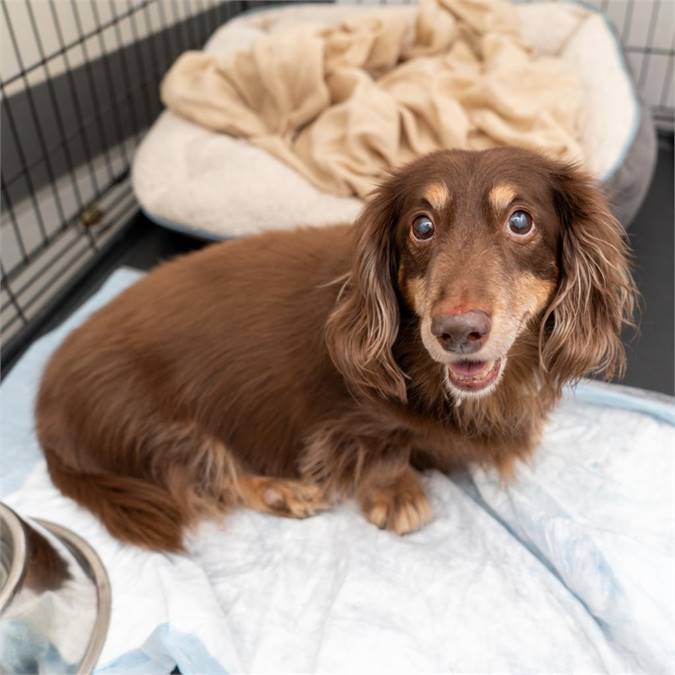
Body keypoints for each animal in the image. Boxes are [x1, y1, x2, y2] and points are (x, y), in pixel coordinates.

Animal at [35, 148, 640, 548]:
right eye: (422, 226)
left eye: (521, 220)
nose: (457, 331)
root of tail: (43, 401)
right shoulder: (349, 419)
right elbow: (381, 448)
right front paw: (396, 494)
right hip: (156, 423)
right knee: (205, 474)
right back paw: (284, 492)